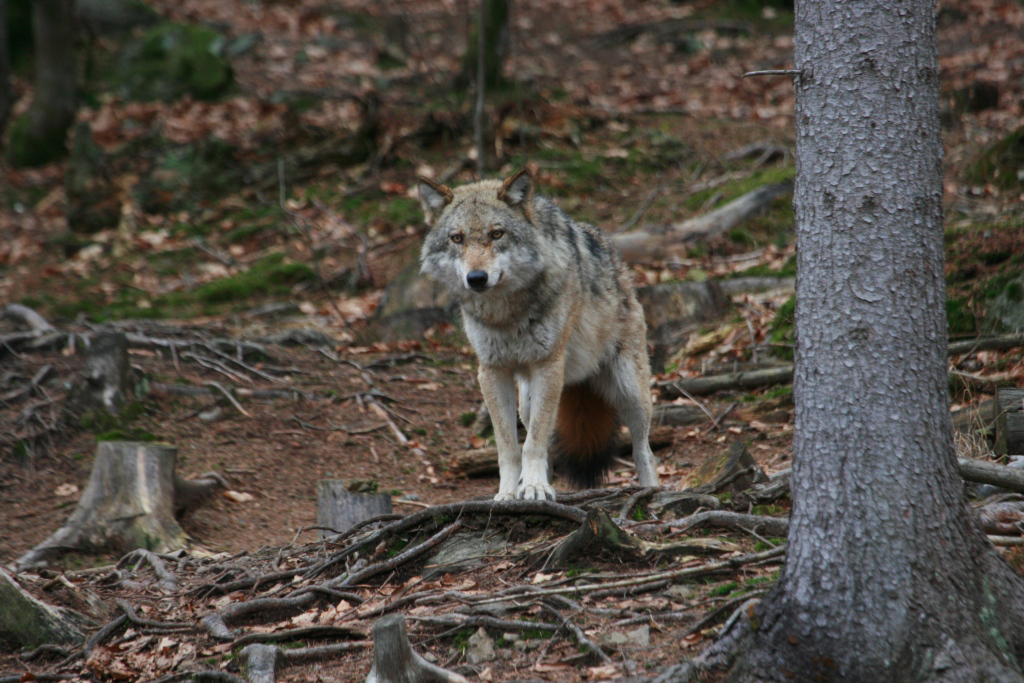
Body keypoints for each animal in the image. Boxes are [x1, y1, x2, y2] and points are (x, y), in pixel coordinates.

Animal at [419, 169, 659, 501]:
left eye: (497, 234)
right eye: (457, 238)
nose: (476, 278)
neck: (505, 314)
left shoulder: (548, 364)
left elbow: (532, 443)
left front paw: (533, 487)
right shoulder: (491, 371)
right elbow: (509, 446)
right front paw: (509, 493)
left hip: (630, 392)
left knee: (643, 451)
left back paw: (651, 492)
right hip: (528, 399)